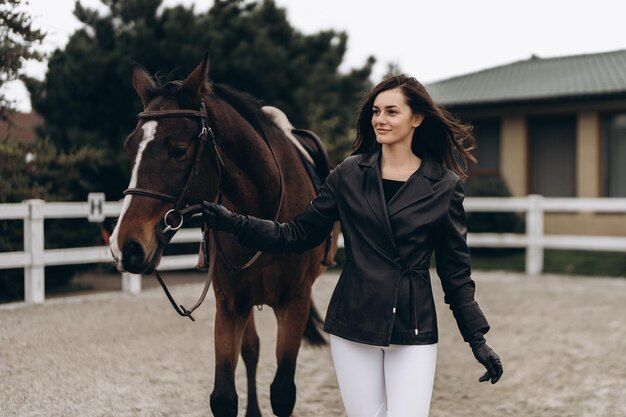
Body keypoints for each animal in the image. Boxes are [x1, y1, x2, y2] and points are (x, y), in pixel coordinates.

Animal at [109, 56, 338, 416]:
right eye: (130, 147)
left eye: (178, 150)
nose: (126, 245)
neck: (264, 216)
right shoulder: (230, 305)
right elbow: (224, 396)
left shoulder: (294, 302)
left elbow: (282, 393)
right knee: (252, 350)